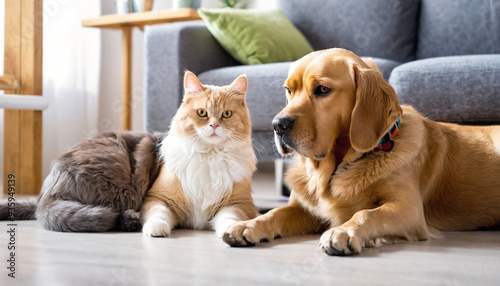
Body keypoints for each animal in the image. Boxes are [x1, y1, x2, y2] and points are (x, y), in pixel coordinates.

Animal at [141, 71, 258, 237]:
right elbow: (159, 213)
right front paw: (155, 228)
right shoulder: (158, 198)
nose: (214, 125)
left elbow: (229, 218)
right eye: (202, 113)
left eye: (227, 114)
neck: (210, 155)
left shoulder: (238, 203)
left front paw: (231, 230)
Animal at [225, 48, 500, 256]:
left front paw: (343, 231)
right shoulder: (304, 208)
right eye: (288, 90)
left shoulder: (408, 209)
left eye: (322, 89)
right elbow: (274, 213)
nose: (277, 125)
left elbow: (367, 214)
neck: (338, 167)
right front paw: (247, 225)